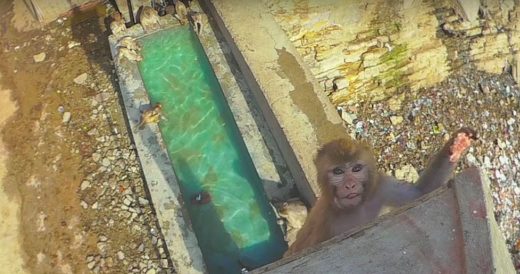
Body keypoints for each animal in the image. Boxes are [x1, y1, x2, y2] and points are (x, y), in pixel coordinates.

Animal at [286, 127, 478, 256]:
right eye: (338, 171)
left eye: (356, 169)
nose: (350, 185)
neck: (356, 208)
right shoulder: (324, 222)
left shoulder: (380, 187)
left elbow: (420, 193)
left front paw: (456, 146)